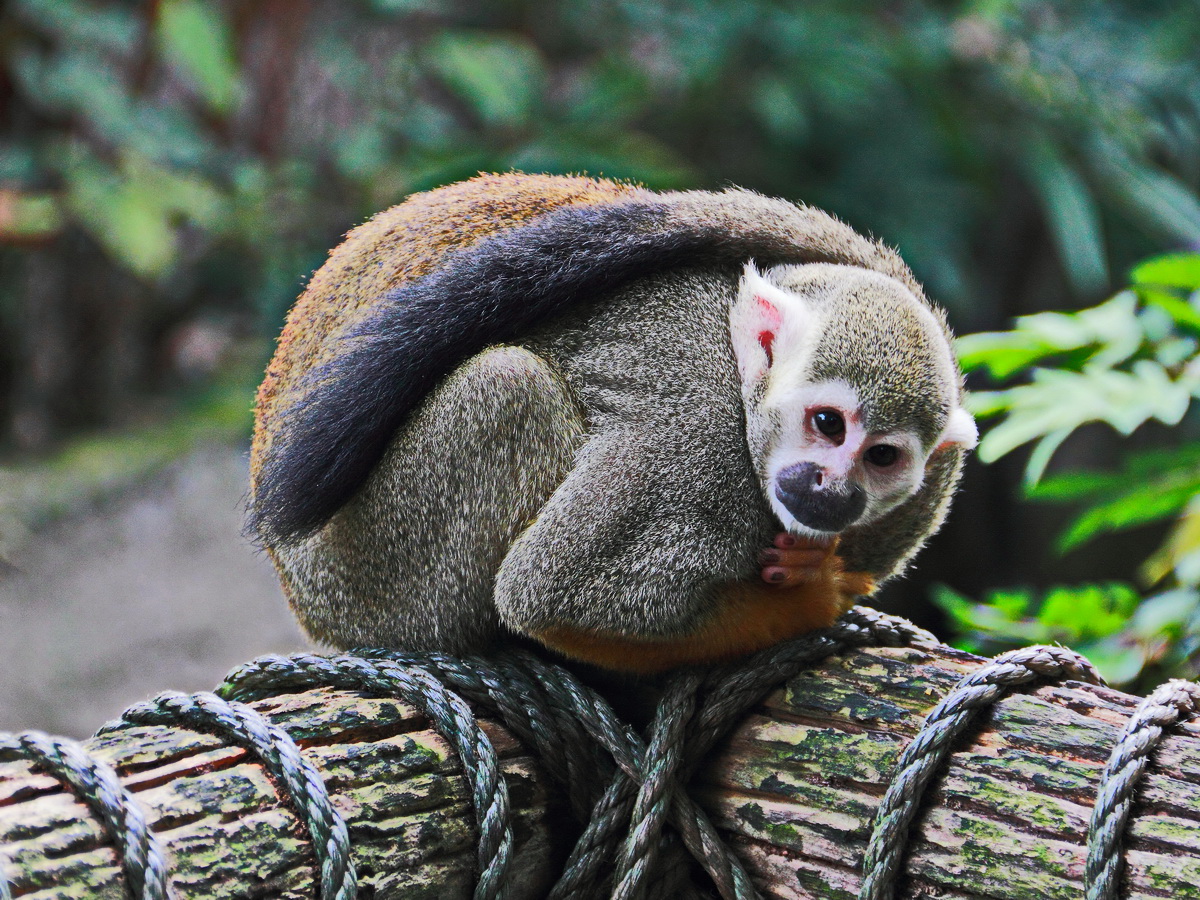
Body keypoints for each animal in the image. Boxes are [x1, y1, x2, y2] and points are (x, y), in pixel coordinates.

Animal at [250, 176, 974, 672]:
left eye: (882, 458)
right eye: (827, 423)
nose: (831, 489)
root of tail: (300, 593)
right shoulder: (698, 451)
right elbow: (550, 595)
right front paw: (813, 597)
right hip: (366, 577)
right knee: (511, 388)